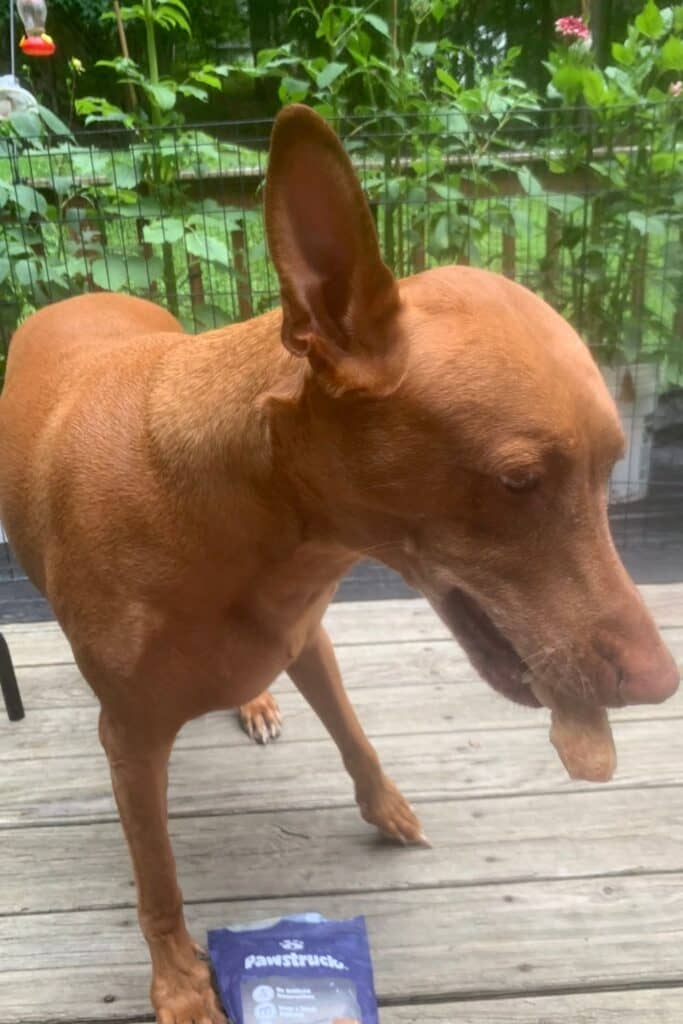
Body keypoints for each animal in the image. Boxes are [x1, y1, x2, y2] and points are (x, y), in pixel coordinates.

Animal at [0, 105, 679, 1024]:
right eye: (517, 481)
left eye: (611, 468)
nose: (661, 682)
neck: (241, 523)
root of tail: (80, 291)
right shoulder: (130, 743)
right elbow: (158, 880)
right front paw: (178, 981)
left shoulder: (307, 636)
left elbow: (354, 733)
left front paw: (384, 806)